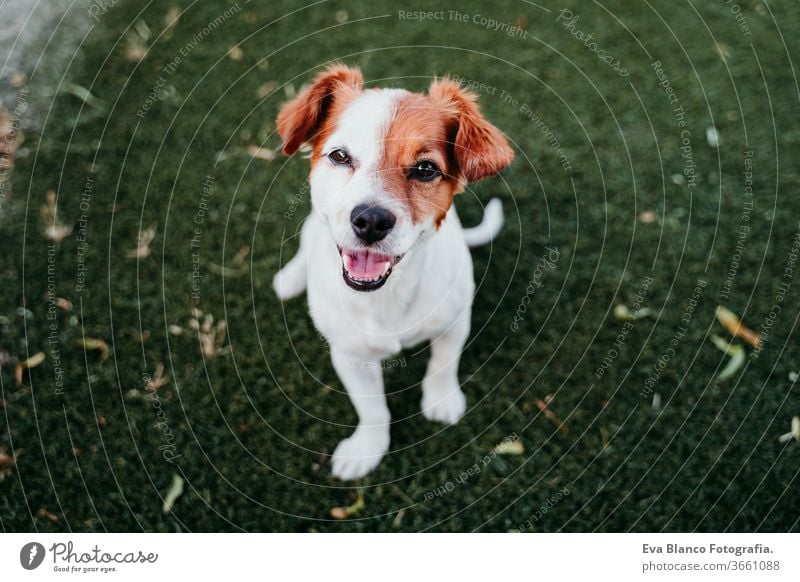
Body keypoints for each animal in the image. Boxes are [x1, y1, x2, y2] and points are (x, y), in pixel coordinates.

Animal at [274, 65, 512, 484]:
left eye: (426, 169)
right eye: (340, 156)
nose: (370, 220)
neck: (387, 297)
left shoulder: (454, 323)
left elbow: (442, 366)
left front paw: (442, 401)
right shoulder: (349, 355)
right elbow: (372, 408)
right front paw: (368, 448)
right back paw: (290, 278)